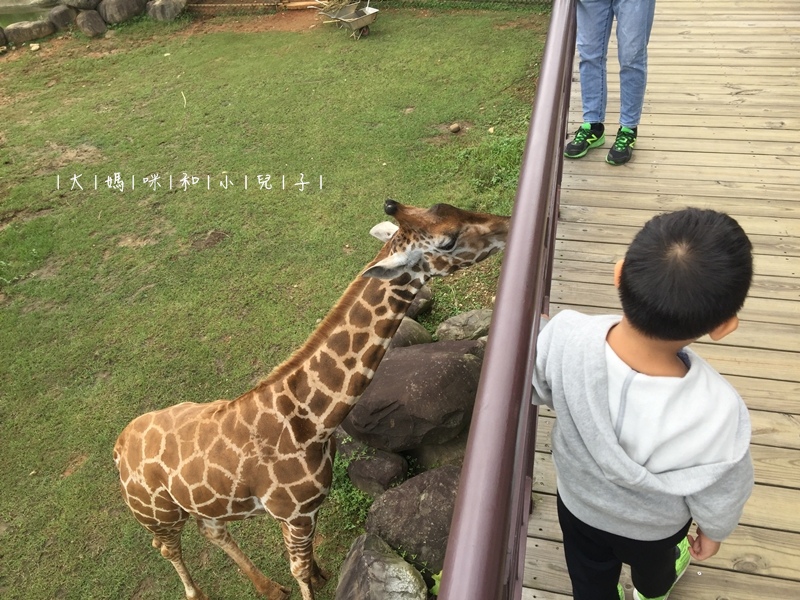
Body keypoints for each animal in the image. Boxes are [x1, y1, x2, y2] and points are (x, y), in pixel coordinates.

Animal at [114, 199, 506, 596]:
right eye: (447, 241)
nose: (505, 225)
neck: (312, 420)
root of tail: (118, 447)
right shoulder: (294, 512)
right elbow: (298, 570)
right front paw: (310, 579)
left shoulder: (305, 510)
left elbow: (307, 563)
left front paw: (321, 574)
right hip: (157, 513)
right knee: (164, 545)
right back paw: (197, 594)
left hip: (209, 505)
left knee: (212, 530)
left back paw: (270, 589)